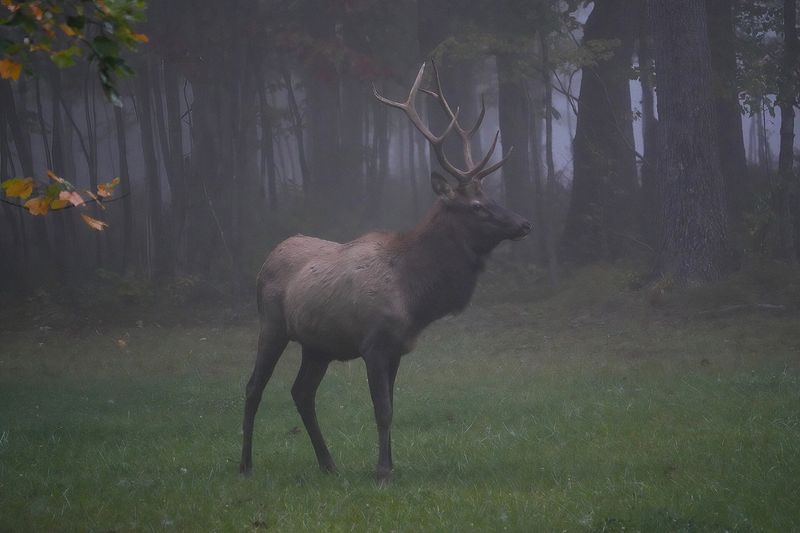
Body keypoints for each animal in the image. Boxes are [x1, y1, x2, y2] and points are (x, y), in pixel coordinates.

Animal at [244, 62, 532, 482]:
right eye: (477, 206)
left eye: (491, 196)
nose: (524, 223)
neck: (416, 297)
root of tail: (268, 256)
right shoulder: (374, 344)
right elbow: (382, 410)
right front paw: (382, 471)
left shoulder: (397, 348)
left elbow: (392, 409)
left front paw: (390, 465)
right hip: (272, 326)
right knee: (254, 386)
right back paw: (245, 464)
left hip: (318, 344)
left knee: (301, 392)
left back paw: (328, 464)